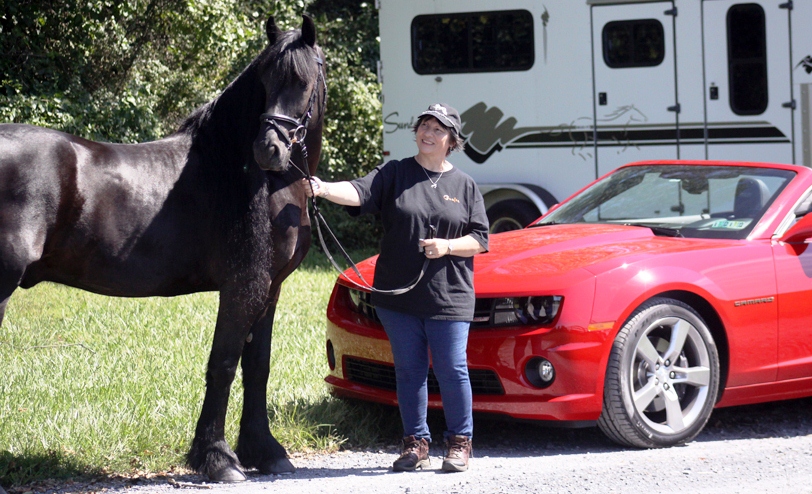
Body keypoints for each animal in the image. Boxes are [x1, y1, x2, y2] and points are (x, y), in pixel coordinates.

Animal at [0, 15, 324, 482]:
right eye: (265, 79)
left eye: (303, 80)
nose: (269, 149)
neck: (250, 176)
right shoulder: (242, 287)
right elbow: (224, 364)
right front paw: (218, 458)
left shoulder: (270, 290)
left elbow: (257, 367)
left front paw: (265, 451)